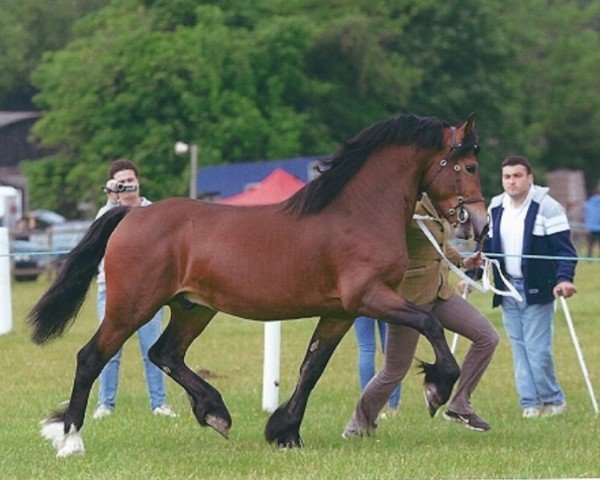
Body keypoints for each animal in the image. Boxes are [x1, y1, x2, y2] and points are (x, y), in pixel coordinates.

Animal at [29, 113, 488, 458]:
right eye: (468, 167)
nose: (480, 225)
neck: (358, 213)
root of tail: (133, 214)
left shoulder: (339, 312)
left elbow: (311, 369)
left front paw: (285, 431)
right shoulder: (371, 298)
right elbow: (429, 323)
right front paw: (437, 387)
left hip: (193, 308)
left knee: (165, 353)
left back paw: (214, 412)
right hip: (132, 306)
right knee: (91, 357)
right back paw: (69, 440)